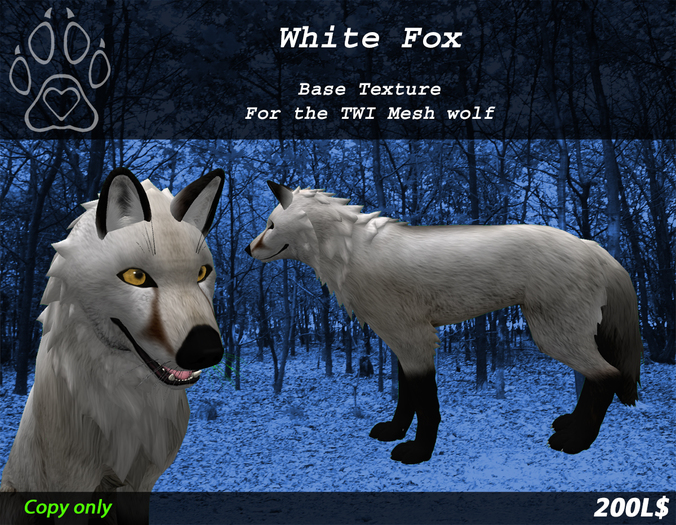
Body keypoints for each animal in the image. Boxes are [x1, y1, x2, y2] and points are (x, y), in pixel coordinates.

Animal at [1, 168, 225, 521]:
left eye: (202, 273)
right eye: (136, 277)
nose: (207, 351)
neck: (129, 404)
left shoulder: (138, 485)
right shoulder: (71, 487)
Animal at [246, 181, 642, 465]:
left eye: (270, 224)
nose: (249, 249)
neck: (351, 256)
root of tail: (592, 247)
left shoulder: (416, 339)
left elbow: (426, 404)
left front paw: (418, 452)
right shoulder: (401, 340)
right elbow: (406, 396)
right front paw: (394, 431)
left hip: (552, 335)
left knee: (607, 376)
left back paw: (576, 442)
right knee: (598, 376)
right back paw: (570, 425)